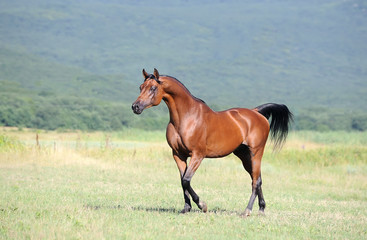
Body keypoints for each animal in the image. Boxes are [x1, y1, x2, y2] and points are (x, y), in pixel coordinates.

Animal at [132, 68, 294, 217]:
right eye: (141, 87)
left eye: (153, 88)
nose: (135, 107)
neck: (187, 117)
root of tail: (256, 112)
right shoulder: (178, 155)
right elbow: (182, 180)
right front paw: (186, 208)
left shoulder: (198, 155)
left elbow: (186, 180)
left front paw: (202, 205)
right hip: (244, 156)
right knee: (258, 178)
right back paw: (261, 209)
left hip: (256, 153)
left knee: (255, 181)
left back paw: (247, 211)